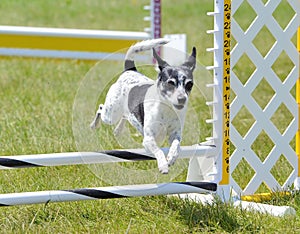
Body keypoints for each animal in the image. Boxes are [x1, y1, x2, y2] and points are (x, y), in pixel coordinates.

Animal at [90, 38, 196, 174]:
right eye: (171, 83)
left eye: (189, 84)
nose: (182, 99)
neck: (167, 109)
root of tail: (130, 70)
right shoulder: (148, 139)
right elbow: (158, 150)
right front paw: (163, 165)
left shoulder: (175, 134)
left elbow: (176, 145)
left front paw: (172, 157)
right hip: (110, 115)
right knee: (100, 108)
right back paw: (94, 125)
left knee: (125, 115)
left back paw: (118, 130)